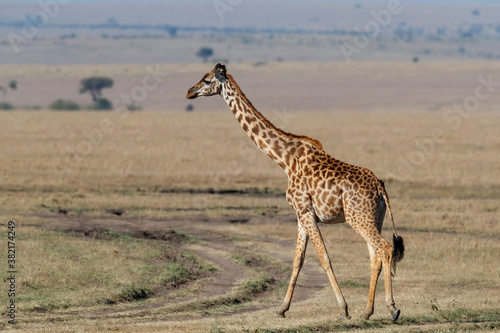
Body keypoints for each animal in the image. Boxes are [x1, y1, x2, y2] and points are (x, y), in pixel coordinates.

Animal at [186, 63, 404, 320]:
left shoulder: (305, 211)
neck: (285, 160)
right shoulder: (301, 214)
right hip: (374, 217)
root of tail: (380, 187)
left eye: (207, 80)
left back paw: (392, 308)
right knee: (375, 256)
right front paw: (282, 309)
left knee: (385, 249)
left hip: (357, 217)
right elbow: (297, 260)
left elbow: (324, 258)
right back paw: (367, 311)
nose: (189, 92)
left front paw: (343, 309)